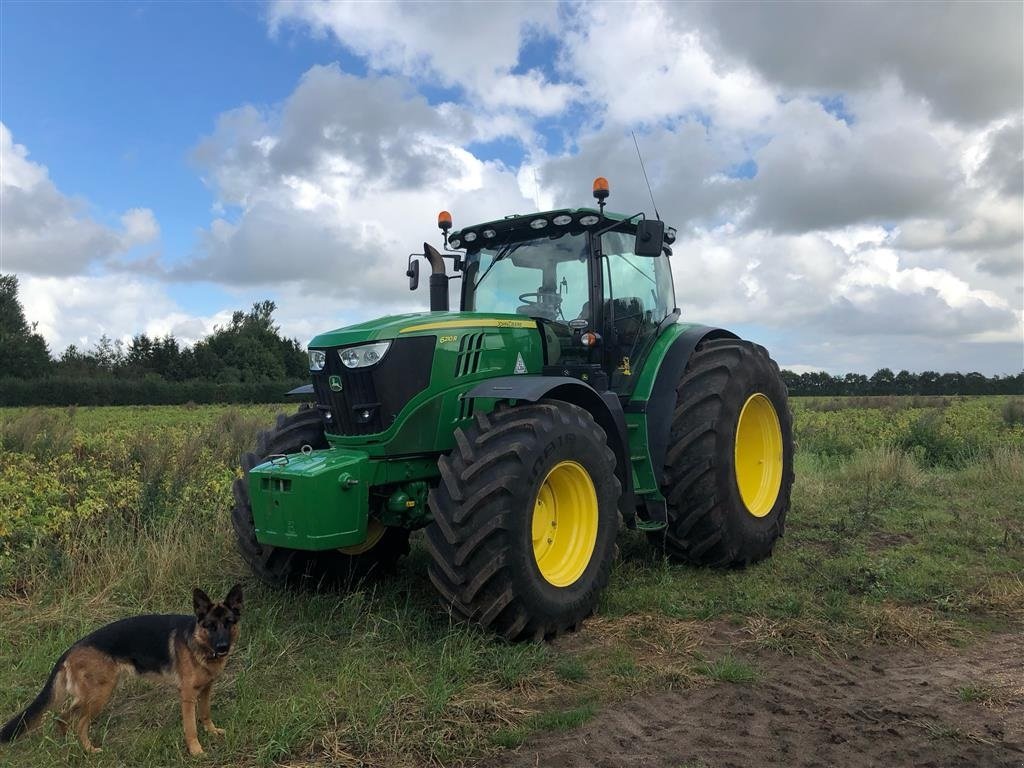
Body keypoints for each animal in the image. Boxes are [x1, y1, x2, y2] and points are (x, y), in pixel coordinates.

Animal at [1, 589, 242, 757]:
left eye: (228, 623)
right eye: (210, 626)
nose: (222, 647)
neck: (198, 641)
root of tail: (70, 650)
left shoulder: (206, 689)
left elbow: (206, 713)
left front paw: (212, 732)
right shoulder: (188, 696)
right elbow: (191, 726)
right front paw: (196, 751)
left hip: (87, 696)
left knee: (62, 717)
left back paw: (65, 744)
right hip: (100, 695)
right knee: (79, 723)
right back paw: (89, 750)